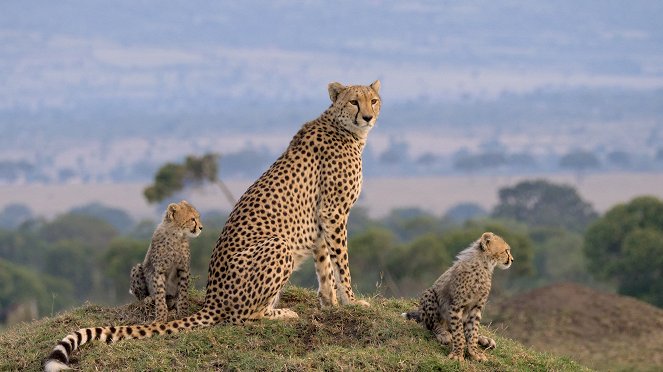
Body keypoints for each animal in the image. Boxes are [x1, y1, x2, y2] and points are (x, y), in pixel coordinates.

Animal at [44, 80, 382, 370]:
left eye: (374, 100)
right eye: (354, 101)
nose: (368, 116)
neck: (343, 128)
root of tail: (211, 298)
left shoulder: (323, 219)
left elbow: (325, 266)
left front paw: (331, 304)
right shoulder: (333, 212)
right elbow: (341, 263)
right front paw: (353, 302)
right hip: (278, 246)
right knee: (241, 317)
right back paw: (281, 313)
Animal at [404, 231, 512, 362]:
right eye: (506, 250)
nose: (512, 259)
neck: (484, 265)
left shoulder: (476, 308)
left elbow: (472, 331)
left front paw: (474, 352)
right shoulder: (456, 306)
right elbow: (459, 333)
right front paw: (457, 354)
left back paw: (485, 340)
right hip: (429, 294)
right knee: (434, 324)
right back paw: (443, 334)